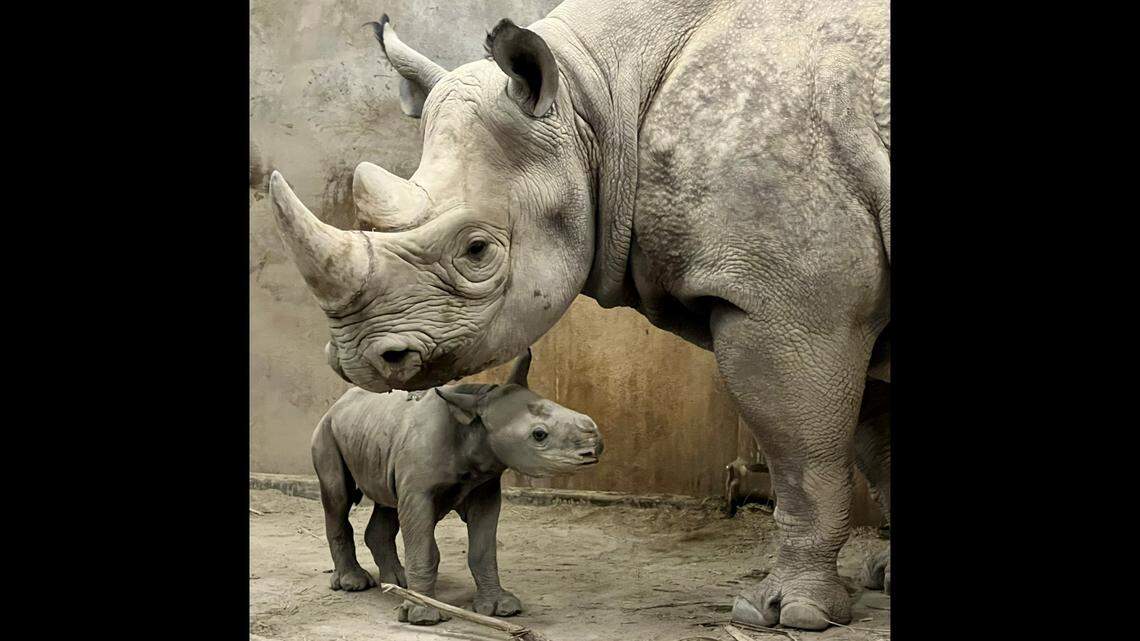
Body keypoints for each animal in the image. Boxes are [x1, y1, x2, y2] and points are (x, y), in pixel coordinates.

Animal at [268, 0, 889, 631]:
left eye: (477, 251)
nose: (355, 360)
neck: (593, 99)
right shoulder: (834, 305)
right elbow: (873, 438)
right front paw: (881, 579)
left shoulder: (793, 304)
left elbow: (801, 454)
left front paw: (789, 613)